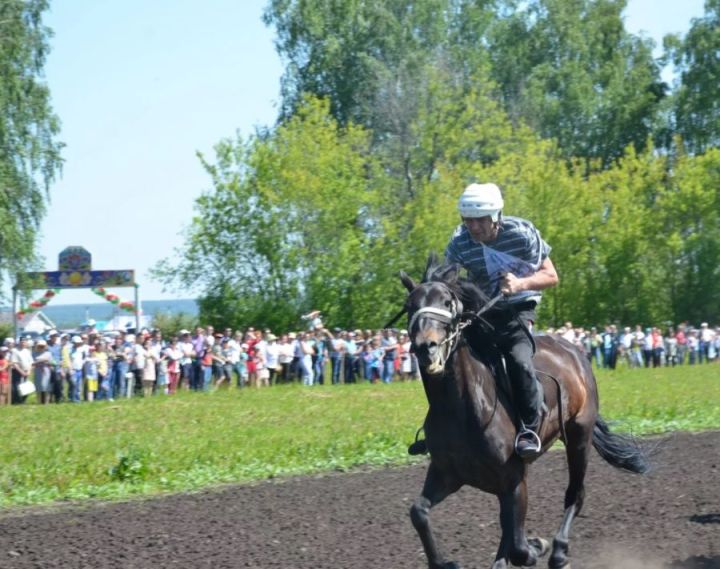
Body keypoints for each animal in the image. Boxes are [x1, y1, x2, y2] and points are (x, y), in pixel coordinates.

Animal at [402, 256, 648, 568]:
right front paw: (443, 562)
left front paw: (536, 545)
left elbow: (519, 545)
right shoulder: (448, 474)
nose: (427, 348)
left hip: (579, 436)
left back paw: (558, 551)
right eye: (410, 305)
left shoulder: (514, 480)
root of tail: (575, 352)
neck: (462, 409)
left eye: (447, 302)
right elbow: (419, 512)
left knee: (575, 494)